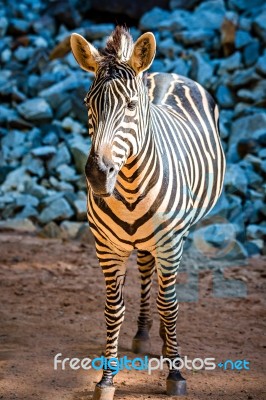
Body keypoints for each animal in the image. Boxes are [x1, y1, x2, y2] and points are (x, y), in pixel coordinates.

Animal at [70, 26, 224, 398]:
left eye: (130, 105)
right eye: (87, 104)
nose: (98, 174)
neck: (127, 188)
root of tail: (169, 75)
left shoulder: (170, 243)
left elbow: (170, 306)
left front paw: (176, 372)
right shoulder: (107, 246)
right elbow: (114, 309)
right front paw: (107, 378)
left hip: (177, 236)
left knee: (165, 291)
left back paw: (168, 343)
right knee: (144, 270)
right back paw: (143, 334)